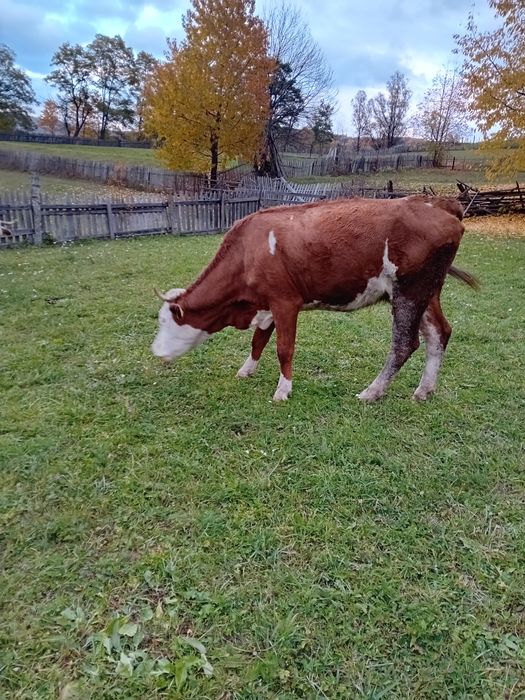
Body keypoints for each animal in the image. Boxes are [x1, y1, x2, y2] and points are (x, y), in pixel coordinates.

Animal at [152, 195, 478, 401]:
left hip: (409, 291)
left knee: (404, 344)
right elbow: (258, 341)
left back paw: (372, 393)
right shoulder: (267, 305)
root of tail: (441, 204)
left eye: (166, 322)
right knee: (439, 333)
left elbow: (284, 348)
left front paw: (283, 390)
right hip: (427, 291)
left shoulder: (285, 301)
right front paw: (246, 370)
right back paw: (424, 391)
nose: (155, 352)